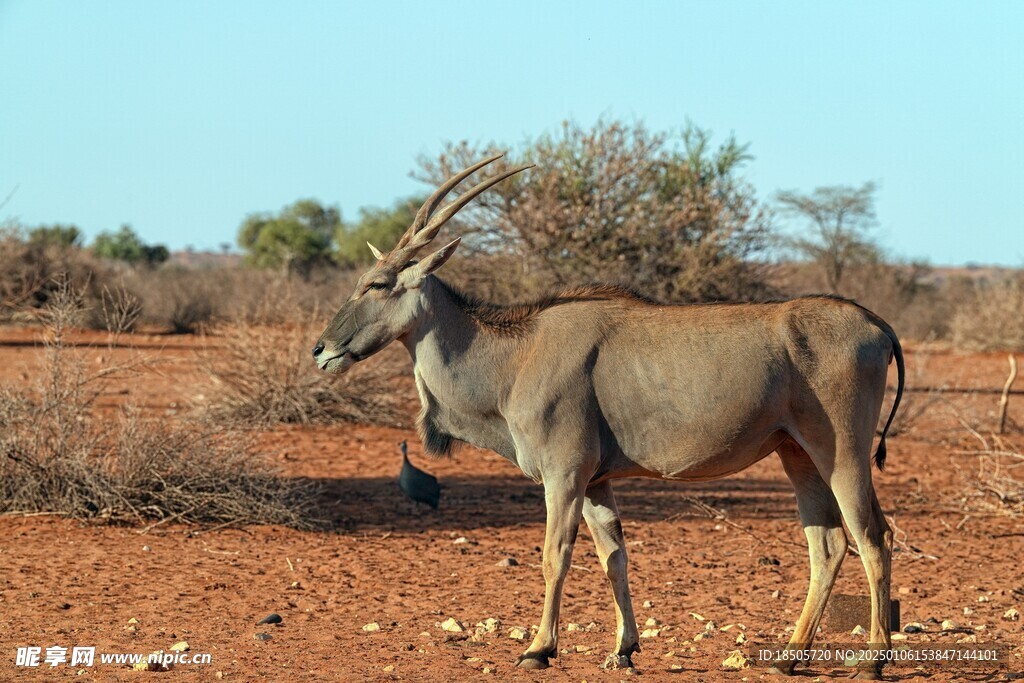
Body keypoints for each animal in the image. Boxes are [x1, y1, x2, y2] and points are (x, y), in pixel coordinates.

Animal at [311, 156, 905, 679]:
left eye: (378, 284)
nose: (322, 350)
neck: (517, 355)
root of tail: (876, 325)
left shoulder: (564, 476)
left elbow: (555, 555)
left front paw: (538, 649)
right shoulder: (596, 482)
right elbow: (613, 555)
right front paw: (624, 648)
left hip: (842, 455)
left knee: (874, 536)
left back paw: (872, 661)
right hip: (797, 455)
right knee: (828, 545)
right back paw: (788, 657)